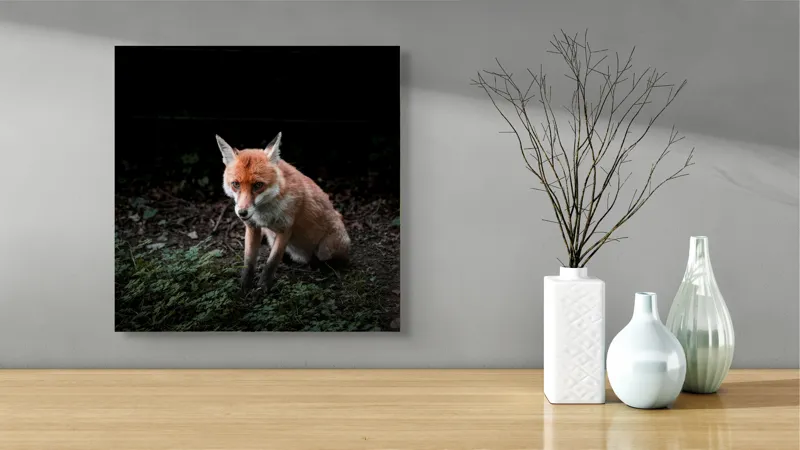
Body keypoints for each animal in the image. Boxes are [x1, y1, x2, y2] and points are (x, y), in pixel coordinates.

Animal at [216, 133, 350, 291]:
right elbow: (248, 262)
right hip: (271, 237)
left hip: (326, 249)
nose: (242, 213)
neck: (264, 213)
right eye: (235, 184)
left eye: (258, 185)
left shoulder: (285, 228)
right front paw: (245, 286)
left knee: (331, 260)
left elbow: (272, 262)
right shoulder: (253, 227)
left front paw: (263, 288)